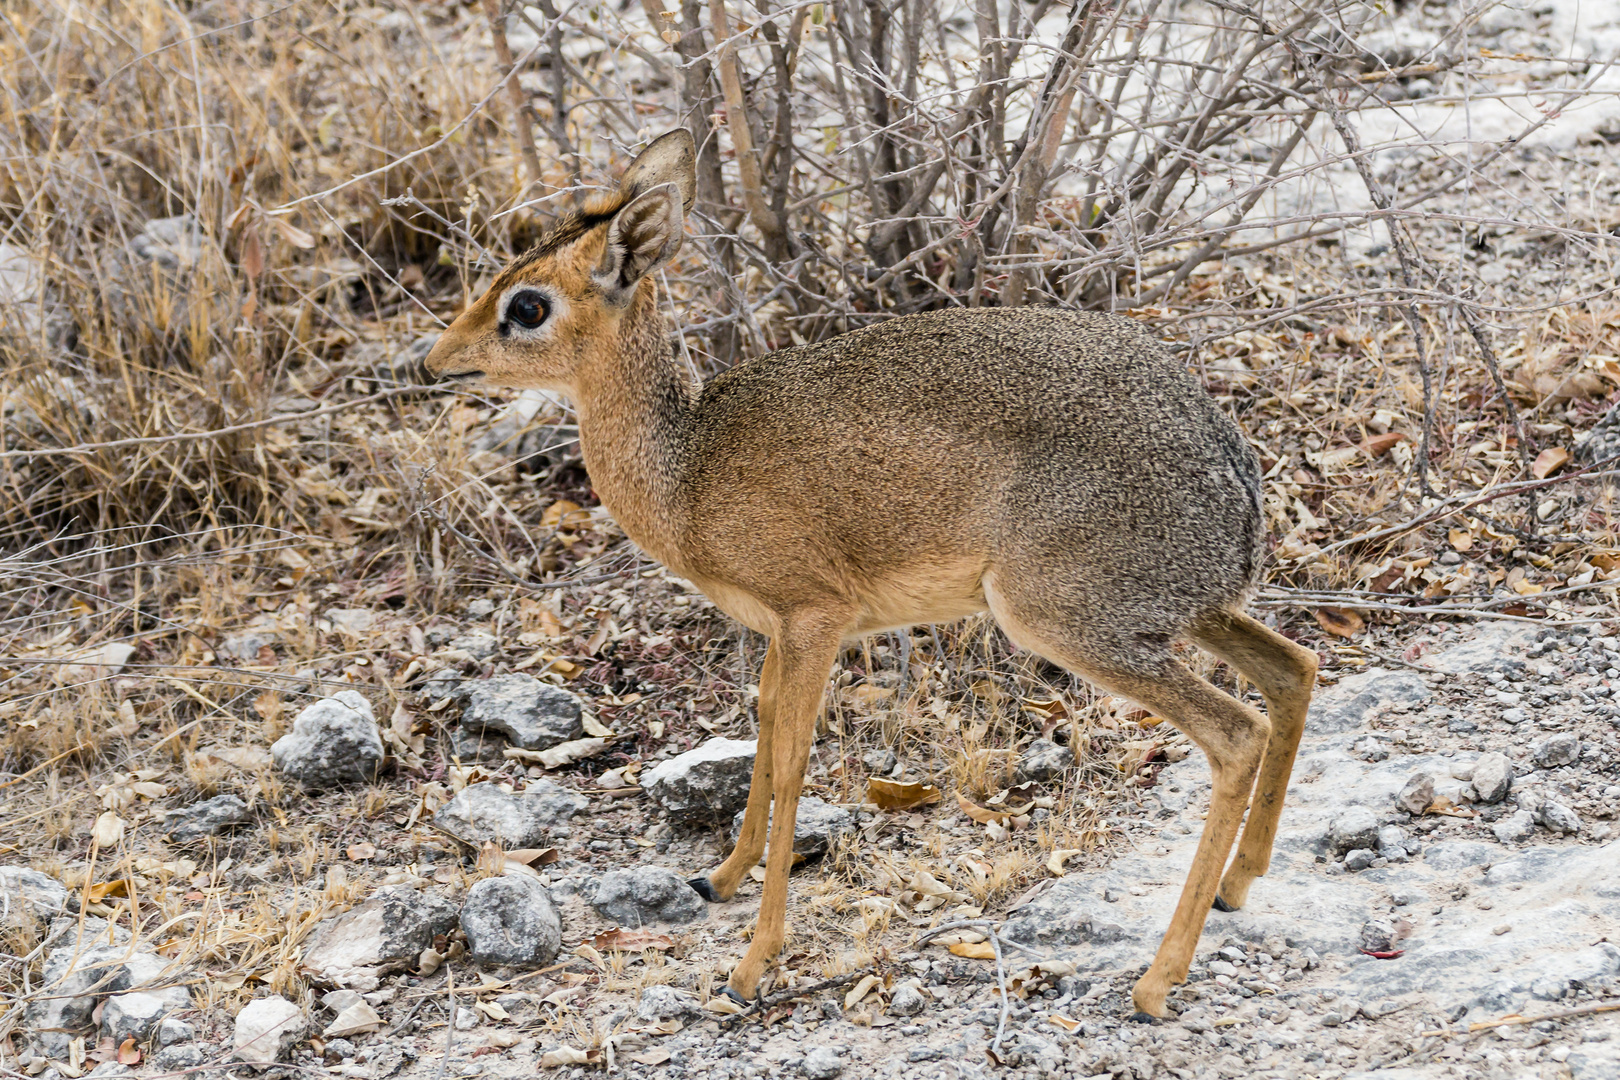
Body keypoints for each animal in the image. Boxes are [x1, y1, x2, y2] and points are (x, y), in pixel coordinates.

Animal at [427, 131, 1315, 1016]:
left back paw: (1158, 979)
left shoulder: (814, 616)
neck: (686, 469)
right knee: (1294, 668)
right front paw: (721, 876)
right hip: (1176, 612)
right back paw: (1238, 884)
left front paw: (753, 963)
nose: (438, 359)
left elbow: (793, 762)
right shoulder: (779, 632)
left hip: (1068, 620)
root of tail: (1234, 472)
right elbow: (762, 729)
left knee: (1238, 732)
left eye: (527, 305)